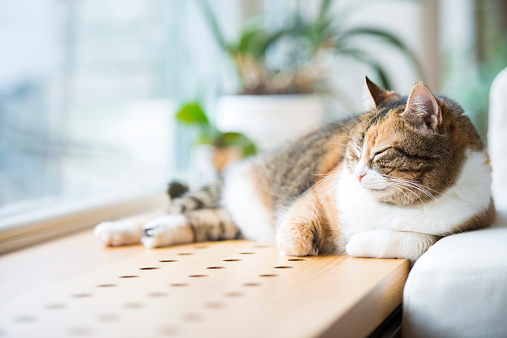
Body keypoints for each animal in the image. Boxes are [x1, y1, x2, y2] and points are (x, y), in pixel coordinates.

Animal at [95, 78, 496, 262]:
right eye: (353, 152)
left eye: (381, 153)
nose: (359, 175)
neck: (391, 206)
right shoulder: (313, 195)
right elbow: (294, 236)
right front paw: (311, 244)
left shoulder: (469, 222)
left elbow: (418, 240)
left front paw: (357, 243)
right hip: (224, 188)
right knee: (173, 207)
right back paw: (115, 230)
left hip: (228, 219)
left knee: (200, 220)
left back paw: (155, 234)